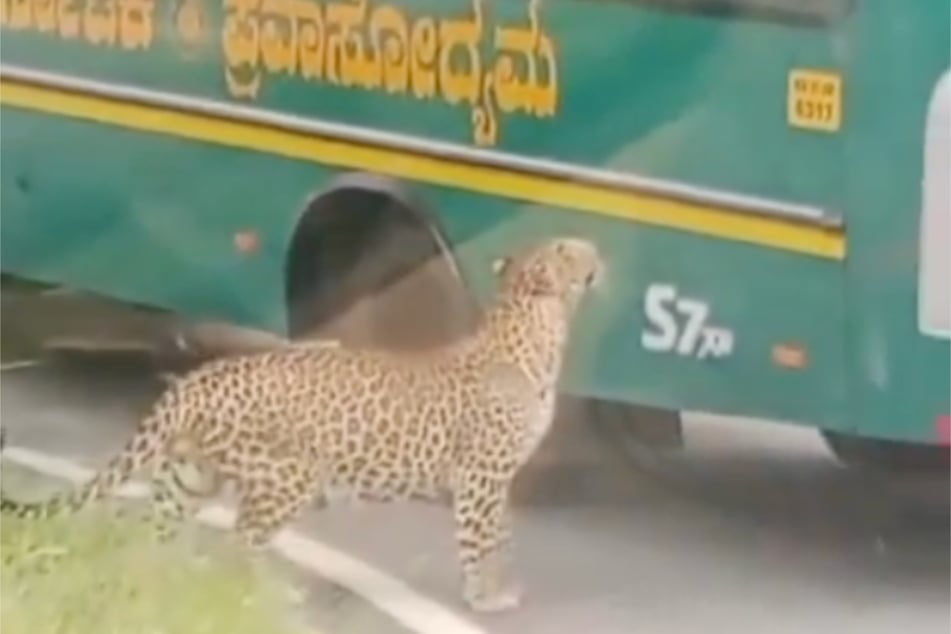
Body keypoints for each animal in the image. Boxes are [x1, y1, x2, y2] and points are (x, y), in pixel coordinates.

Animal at [0, 235, 608, 608]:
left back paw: (156, 580)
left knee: (159, 532)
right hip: (285, 478)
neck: (538, 326)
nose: (595, 250)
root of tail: (199, 378)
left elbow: (500, 534)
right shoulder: (482, 475)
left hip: (188, 476)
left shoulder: (498, 476)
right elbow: (481, 537)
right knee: (241, 540)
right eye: (567, 249)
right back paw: (254, 597)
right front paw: (487, 597)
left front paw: (500, 587)